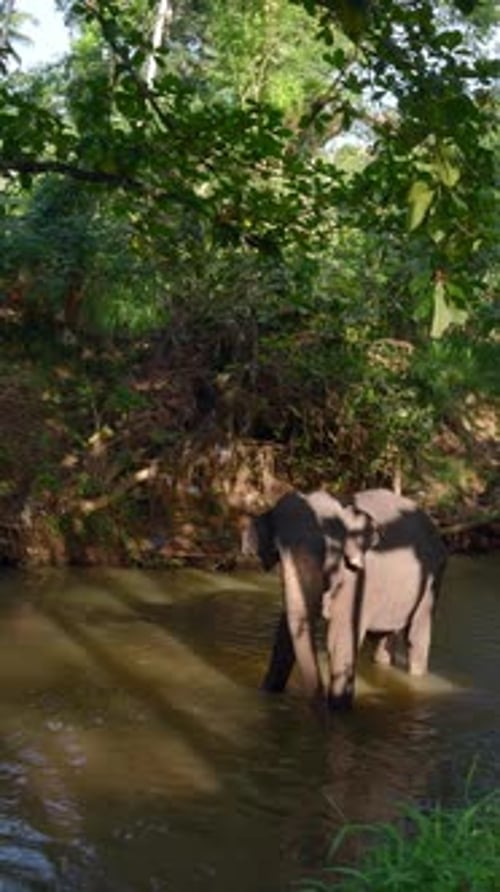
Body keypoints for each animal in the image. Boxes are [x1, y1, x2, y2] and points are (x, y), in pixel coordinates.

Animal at [242, 488, 447, 710]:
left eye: (330, 549)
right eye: (277, 551)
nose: (318, 699)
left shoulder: (359, 577)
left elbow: (339, 638)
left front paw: (337, 709)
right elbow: (285, 637)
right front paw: (267, 693)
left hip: (434, 578)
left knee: (416, 637)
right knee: (383, 638)